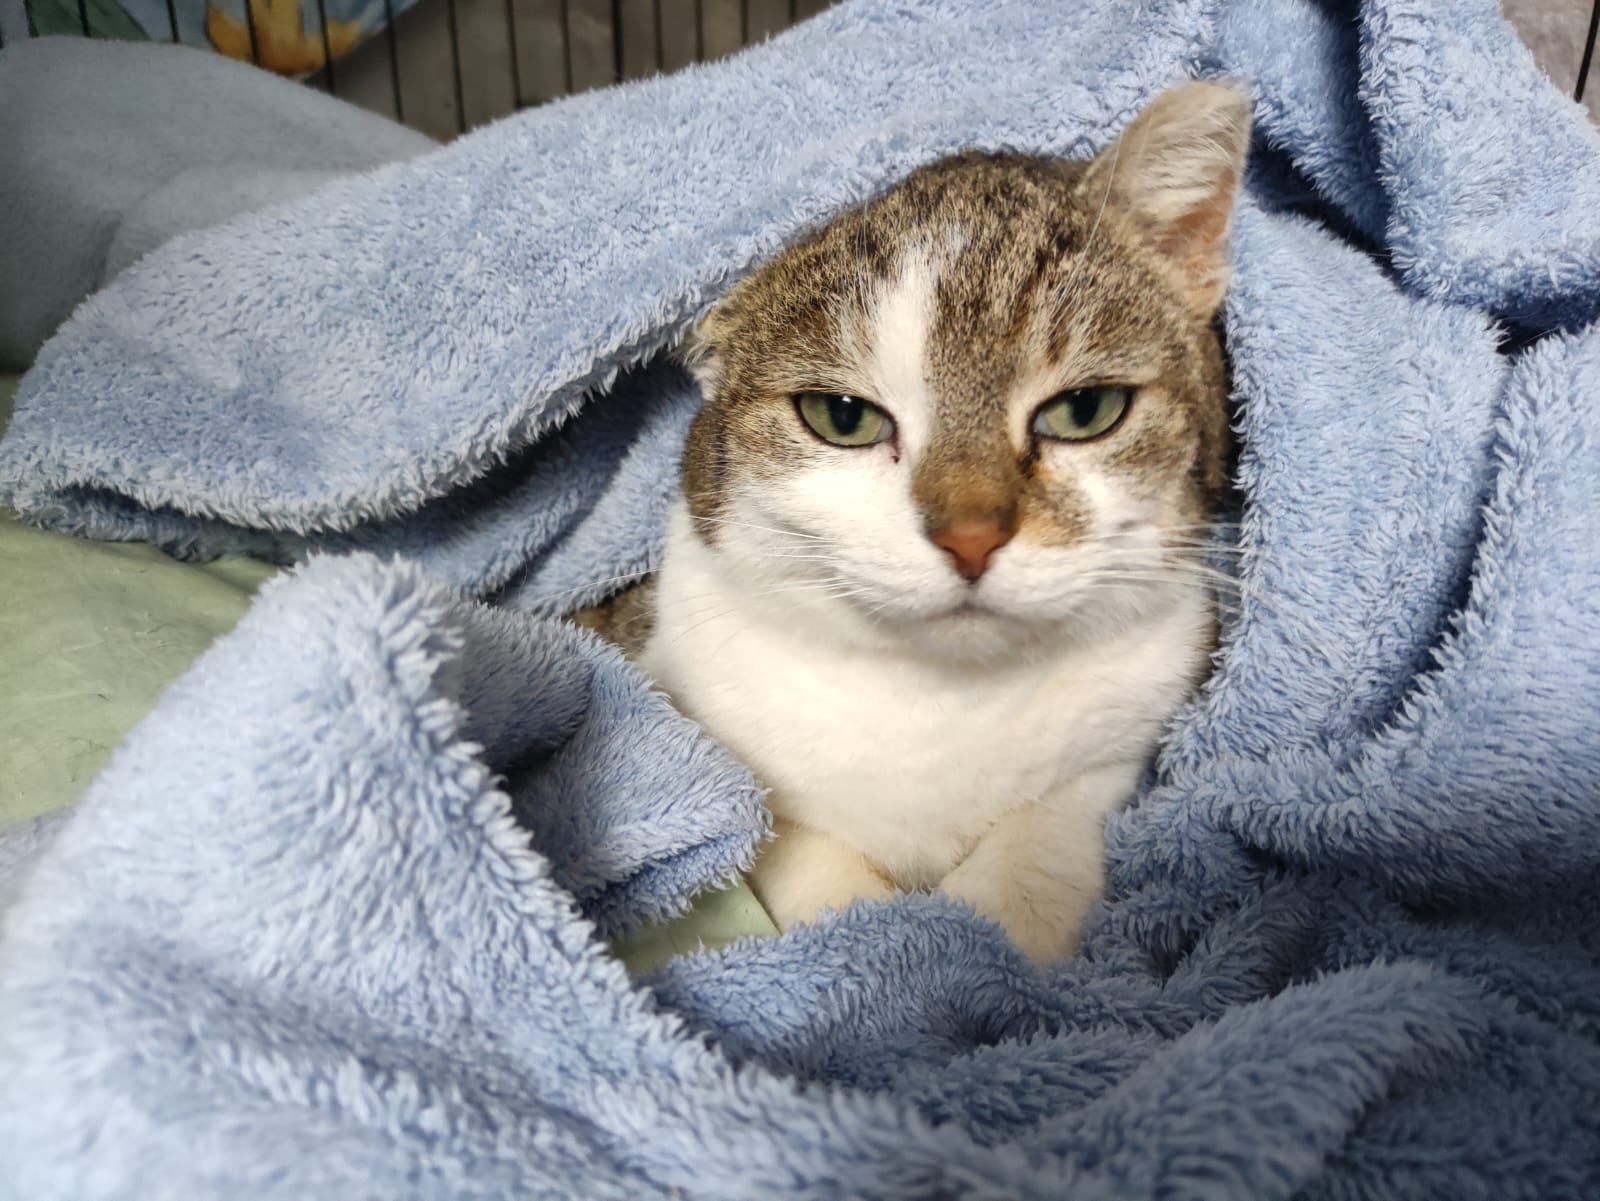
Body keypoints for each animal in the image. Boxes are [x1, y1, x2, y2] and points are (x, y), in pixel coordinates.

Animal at [581, 81, 1250, 963]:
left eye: (1085, 409)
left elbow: (1047, 834)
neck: (945, 705)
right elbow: (800, 855)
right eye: (843, 416)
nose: (970, 537)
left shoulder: (1131, 727)